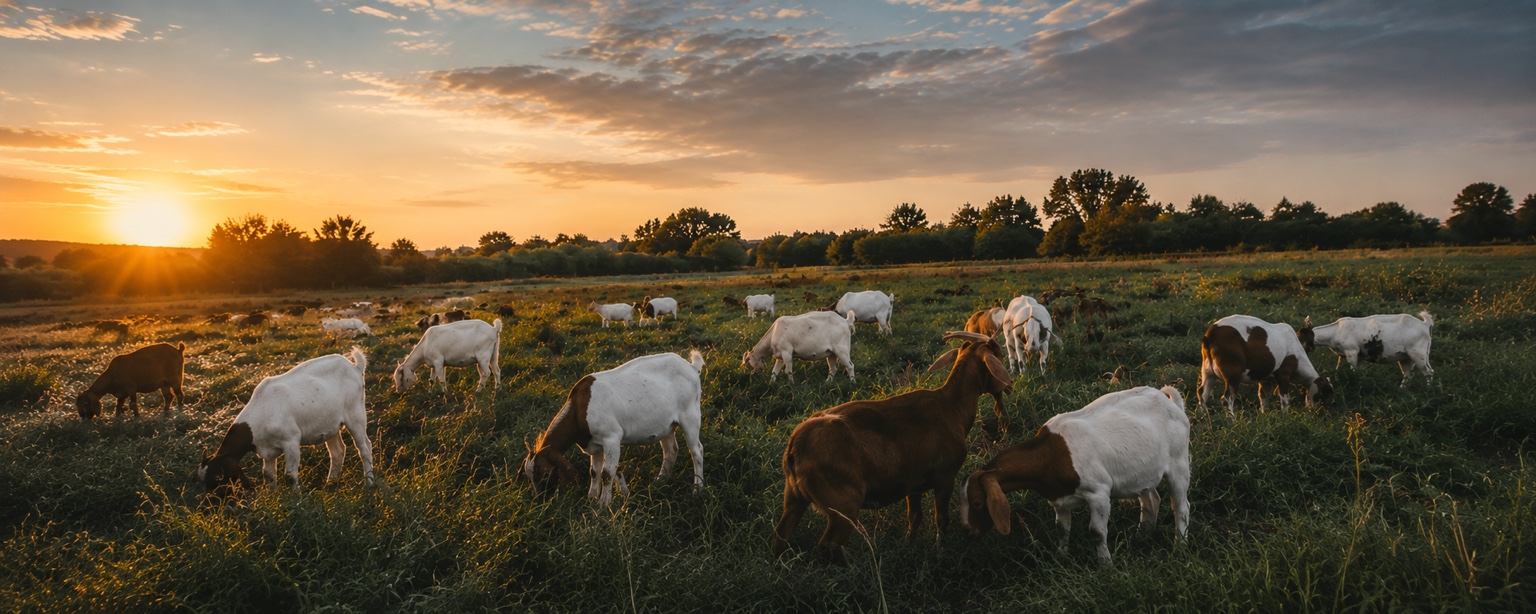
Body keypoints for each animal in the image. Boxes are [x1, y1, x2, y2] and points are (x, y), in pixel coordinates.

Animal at [197, 348, 374, 495]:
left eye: (217, 478)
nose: (207, 502)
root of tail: (354, 367)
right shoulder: (267, 451)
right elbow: (268, 474)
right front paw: (273, 496)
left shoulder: (291, 441)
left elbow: (290, 475)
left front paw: (295, 497)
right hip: (330, 424)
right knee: (337, 451)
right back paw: (331, 482)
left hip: (356, 415)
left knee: (365, 447)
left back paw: (369, 482)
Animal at [520, 351, 706, 506]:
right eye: (528, 475)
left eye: (544, 473)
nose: (538, 499)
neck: (580, 409)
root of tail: (690, 367)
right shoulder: (594, 445)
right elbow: (595, 471)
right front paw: (592, 498)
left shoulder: (612, 438)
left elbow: (607, 472)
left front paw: (604, 503)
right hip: (666, 425)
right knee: (670, 450)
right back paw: (660, 481)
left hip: (690, 415)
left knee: (696, 450)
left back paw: (698, 489)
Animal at [771, 331, 1013, 560]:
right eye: (999, 355)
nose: (1010, 386)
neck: (951, 407)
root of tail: (795, 446)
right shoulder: (945, 475)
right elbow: (941, 518)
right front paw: (940, 549)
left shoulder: (913, 483)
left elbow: (914, 517)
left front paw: (909, 544)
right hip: (843, 504)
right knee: (829, 545)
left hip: (794, 495)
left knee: (782, 533)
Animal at [959, 386, 1190, 565]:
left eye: (978, 503)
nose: (967, 531)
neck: (1051, 453)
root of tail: (1168, 399)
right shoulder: (1059, 499)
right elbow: (1062, 528)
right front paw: (1061, 557)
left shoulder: (1098, 492)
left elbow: (1096, 532)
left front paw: (1106, 565)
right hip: (1141, 470)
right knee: (1151, 498)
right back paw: (1142, 535)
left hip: (1179, 463)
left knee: (1181, 506)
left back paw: (1180, 546)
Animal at [1199, 314, 1333, 413]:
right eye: (1323, 393)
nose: (1318, 412)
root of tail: (1211, 333)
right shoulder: (1284, 374)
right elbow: (1284, 398)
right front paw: (1285, 415)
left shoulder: (1266, 380)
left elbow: (1263, 397)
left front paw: (1264, 415)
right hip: (1232, 374)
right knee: (1227, 399)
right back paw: (1233, 420)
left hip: (1208, 372)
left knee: (1202, 394)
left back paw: (1204, 417)